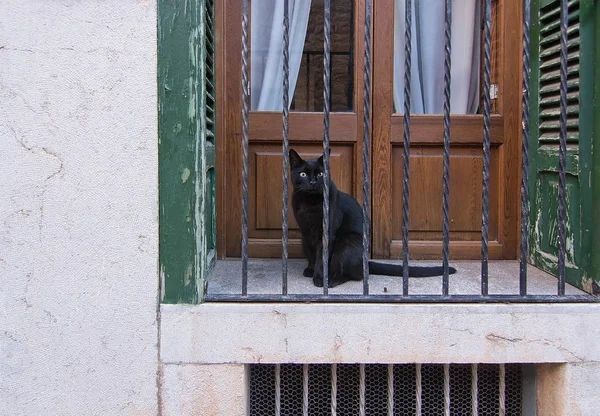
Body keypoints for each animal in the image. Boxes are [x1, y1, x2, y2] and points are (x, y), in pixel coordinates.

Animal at [290, 150, 454, 290]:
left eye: (321, 174)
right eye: (303, 174)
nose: (312, 181)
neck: (309, 202)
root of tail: (366, 262)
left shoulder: (327, 233)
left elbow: (321, 258)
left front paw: (319, 278)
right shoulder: (306, 233)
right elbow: (312, 254)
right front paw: (310, 270)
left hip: (347, 242)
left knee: (353, 275)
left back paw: (332, 281)